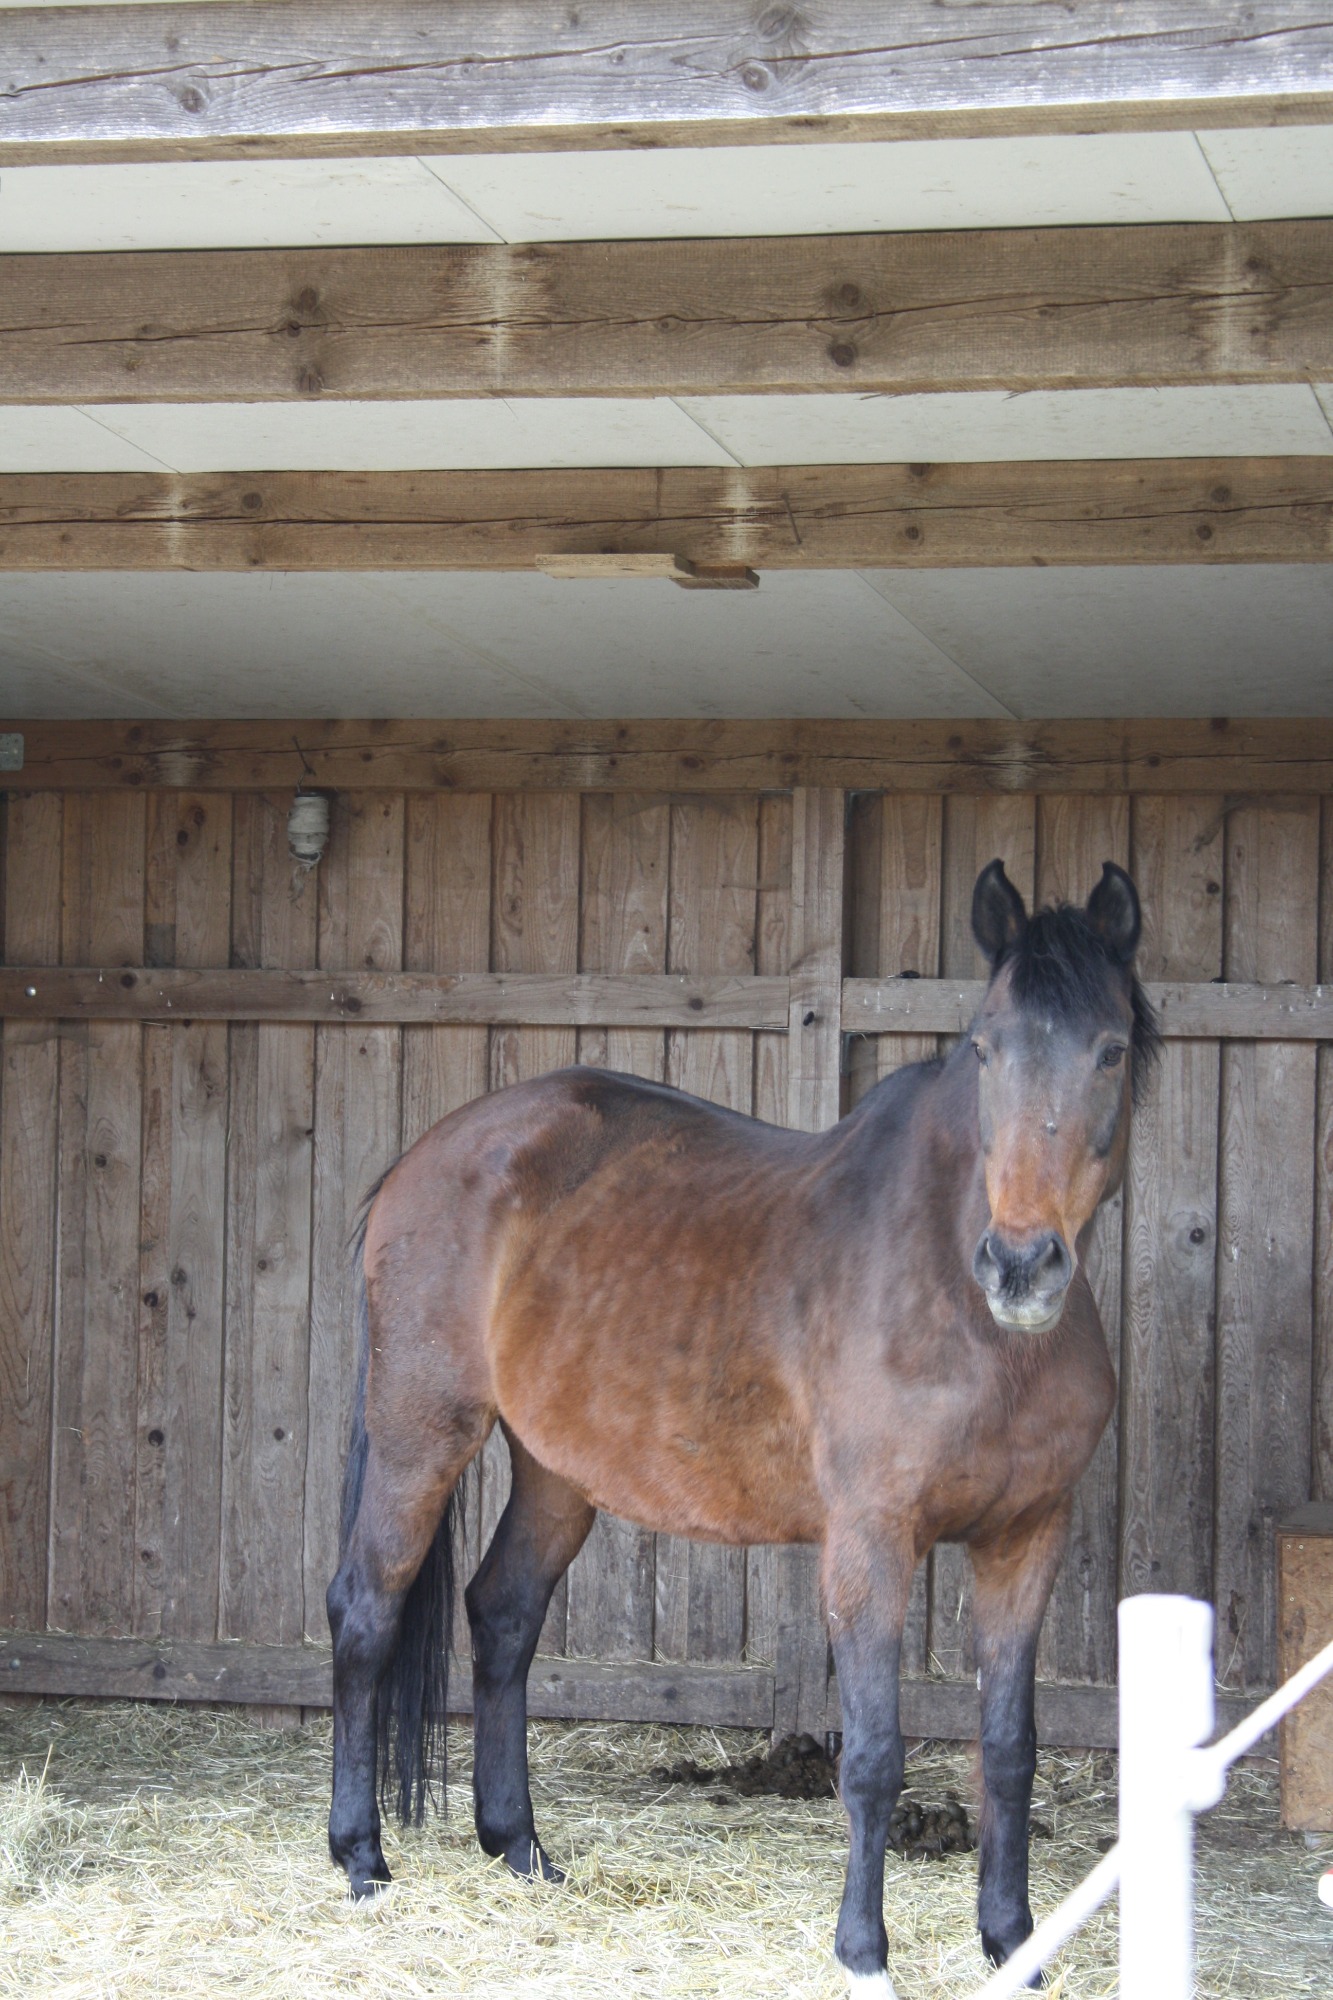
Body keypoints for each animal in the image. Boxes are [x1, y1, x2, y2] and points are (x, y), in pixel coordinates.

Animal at [326, 857, 1158, 1994]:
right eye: (985, 1047)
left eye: (1108, 1048)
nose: (1022, 1264)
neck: (958, 1301)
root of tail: (423, 1159)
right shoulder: (870, 1541)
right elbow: (874, 1755)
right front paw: (863, 1954)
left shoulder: (1025, 1537)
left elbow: (1008, 1747)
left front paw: (1010, 1945)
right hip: (423, 1430)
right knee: (366, 1608)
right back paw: (361, 1857)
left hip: (556, 1469)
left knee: (501, 1613)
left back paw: (521, 1848)